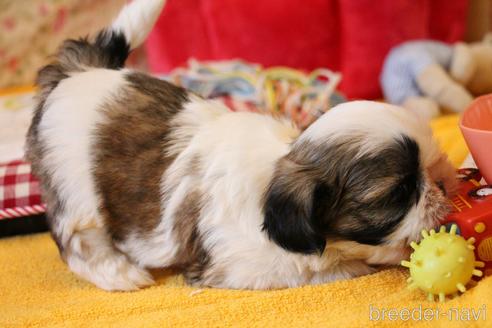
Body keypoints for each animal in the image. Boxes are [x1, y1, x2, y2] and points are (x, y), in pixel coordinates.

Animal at [26, 0, 458, 290]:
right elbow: (313, 269)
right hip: (75, 191)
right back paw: (120, 274)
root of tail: (80, 70)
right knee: (77, 241)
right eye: (399, 193)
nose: (441, 184)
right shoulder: (242, 265)